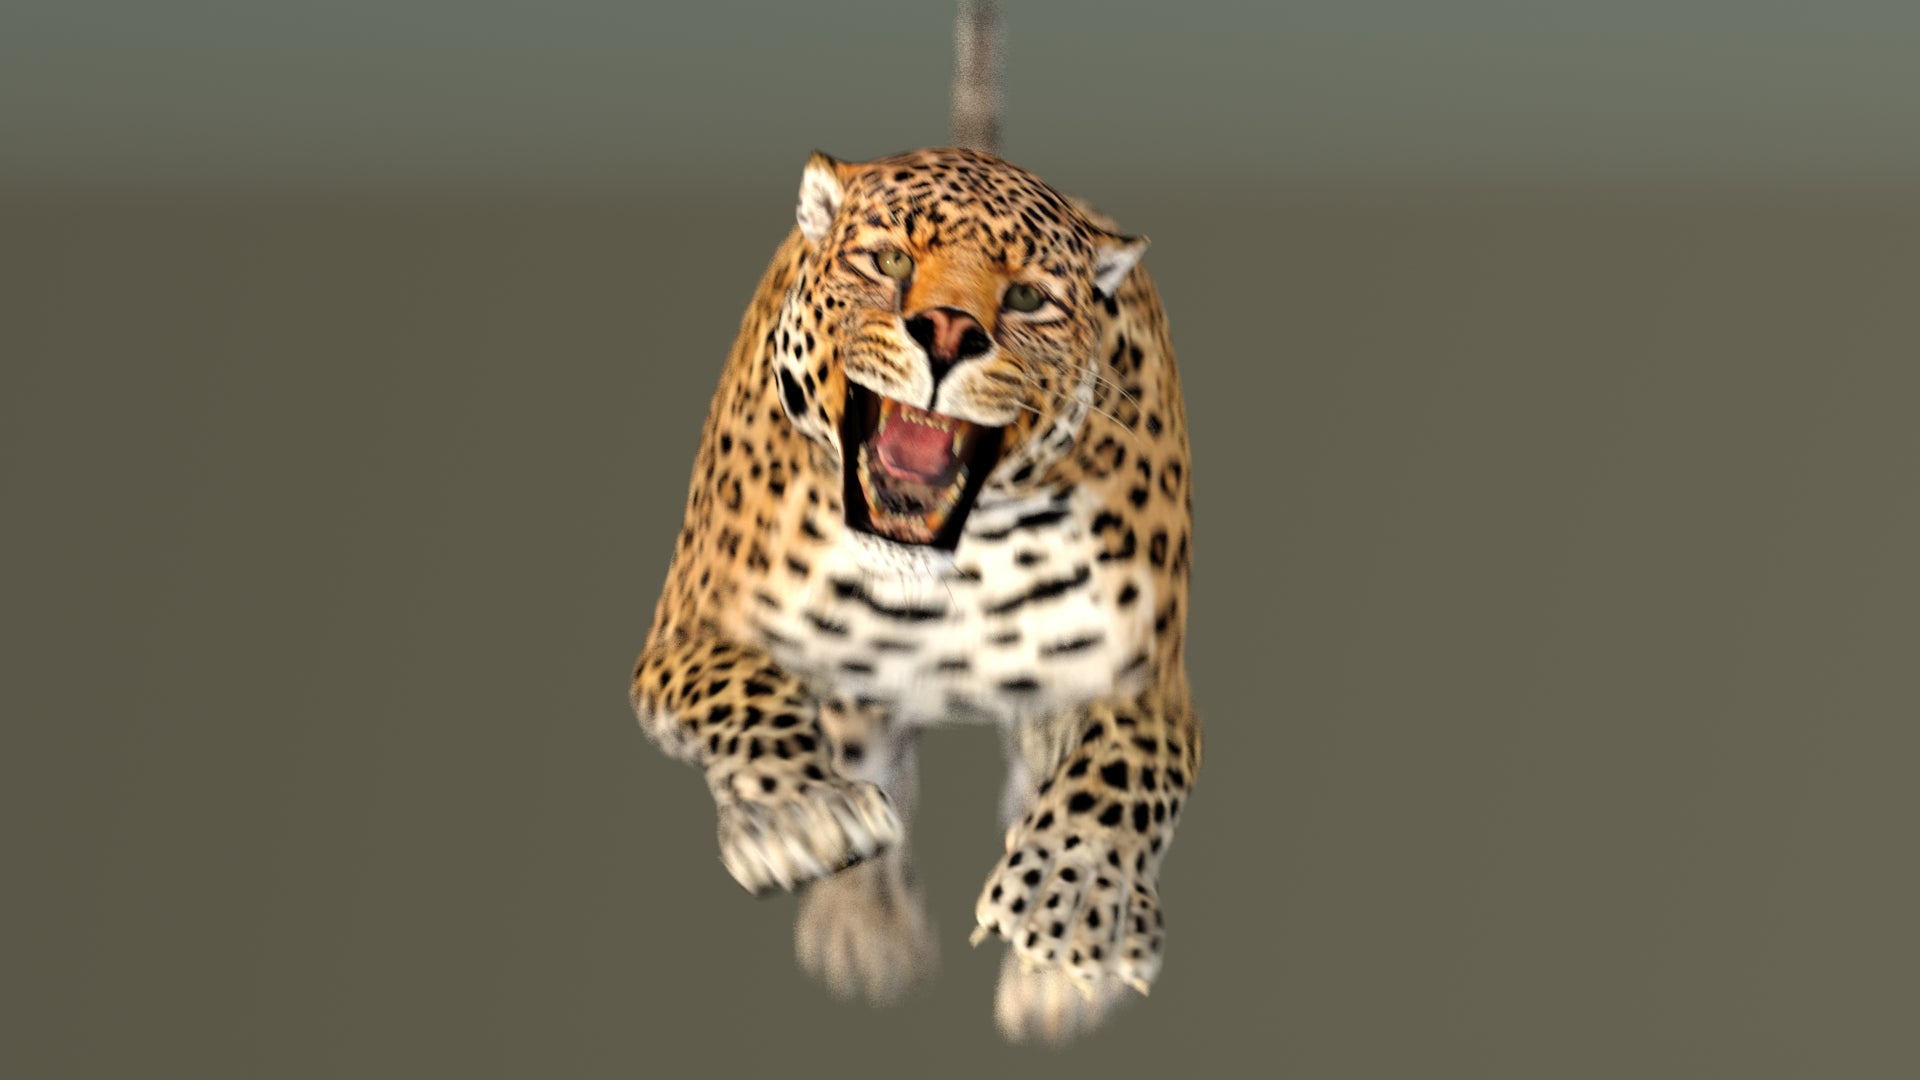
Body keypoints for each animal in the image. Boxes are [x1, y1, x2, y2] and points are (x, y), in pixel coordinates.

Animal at [628, 3, 1200, 1045]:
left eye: (1028, 298)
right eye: (888, 259)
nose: (947, 332)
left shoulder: (1138, 682)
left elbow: (1122, 769)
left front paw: (1066, 909)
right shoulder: (689, 631)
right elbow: (741, 686)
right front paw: (804, 817)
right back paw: (859, 923)